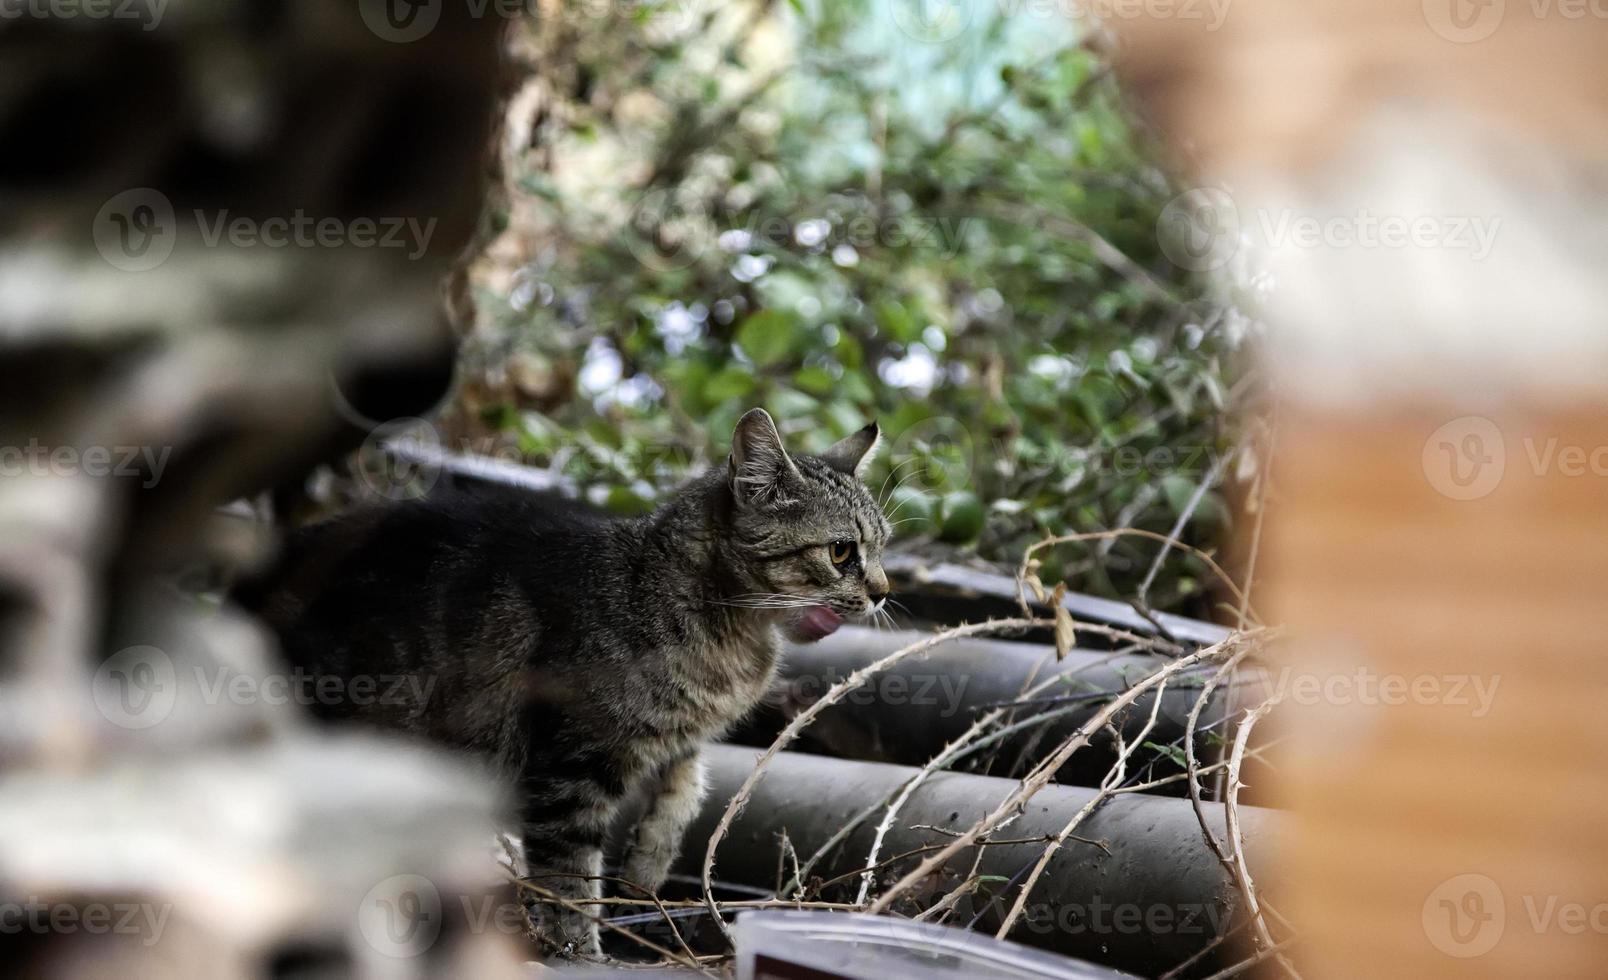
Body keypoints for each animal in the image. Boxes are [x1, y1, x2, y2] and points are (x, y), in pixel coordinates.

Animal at [234, 407, 894, 952]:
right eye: (841, 551)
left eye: (884, 547)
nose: (884, 592)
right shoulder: (570, 770)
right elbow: (572, 875)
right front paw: (579, 947)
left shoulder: (673, 738)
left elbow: (688, 784)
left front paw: (648, 865)